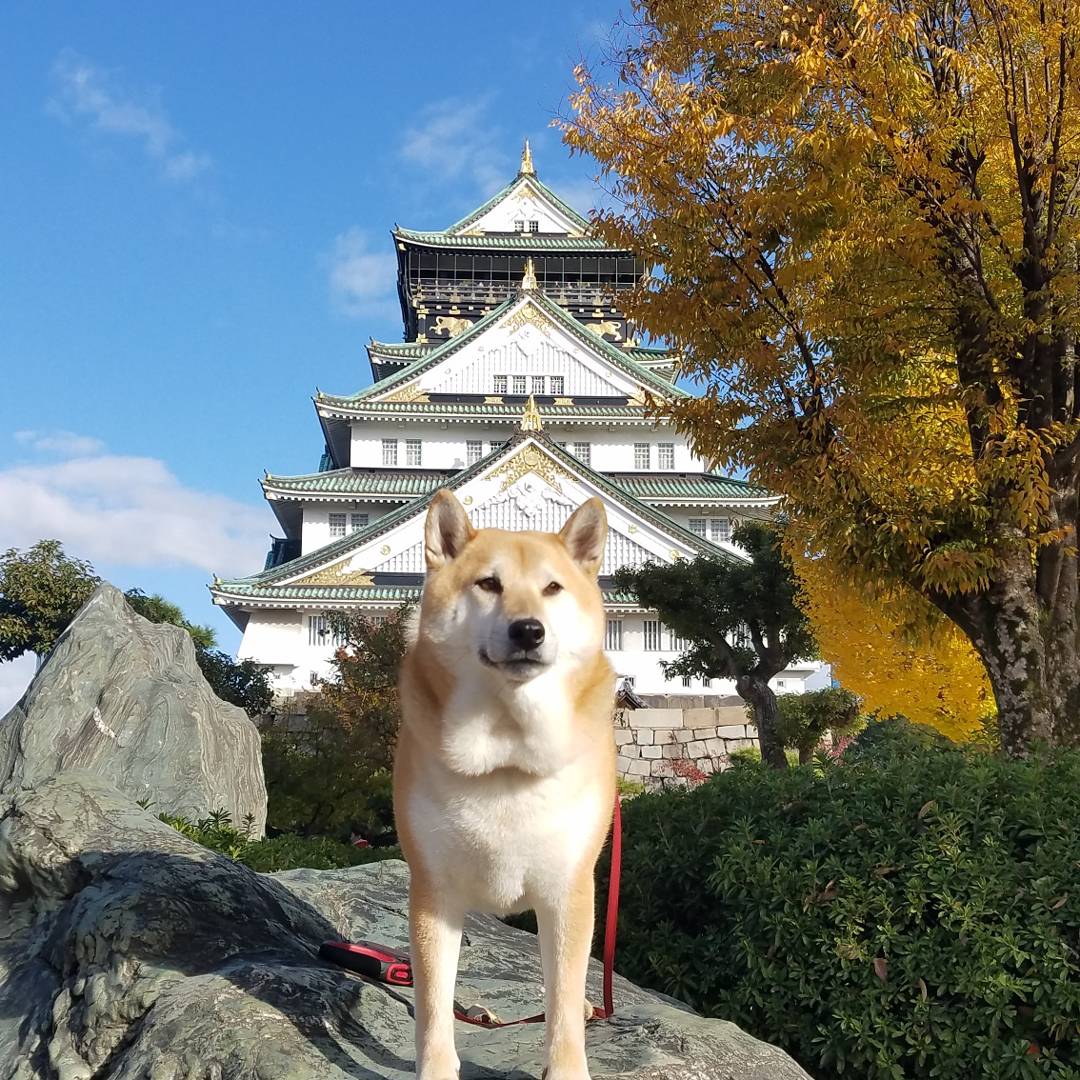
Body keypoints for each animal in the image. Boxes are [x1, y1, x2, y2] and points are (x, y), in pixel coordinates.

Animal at [395, 492, 617, 1080]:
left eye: (552, 588)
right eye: (488, 584)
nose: (528, 630)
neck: (506, 760)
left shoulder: (568, 890)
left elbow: (562, 1001)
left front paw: (566, 1068)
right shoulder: (434, 891)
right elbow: (434, 1004)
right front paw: (436, 1068)